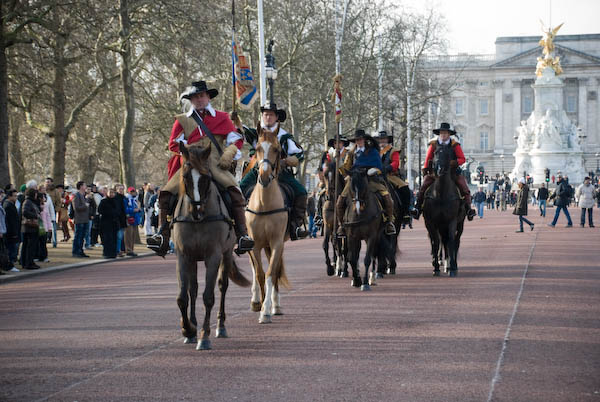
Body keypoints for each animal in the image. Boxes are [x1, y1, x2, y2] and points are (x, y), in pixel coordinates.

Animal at [172, 142, 251, 350]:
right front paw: (188, 329)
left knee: (222, 286)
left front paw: (204, 336)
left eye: (206, 177)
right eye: (185, 176)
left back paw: (220, 326)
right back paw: (192, 326)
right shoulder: (183, 256)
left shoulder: (213, 256)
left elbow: (208, 296)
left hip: (226, 253)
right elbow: (182, 297)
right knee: (192, 289)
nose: (196, 210)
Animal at [422, 145, 466, 277]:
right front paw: (436, 267)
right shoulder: (431, 222)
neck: (441, 194)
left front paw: (452, 267)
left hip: (459, 224)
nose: (439, 170)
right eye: (435, 152)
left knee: (455, 242)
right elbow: (435, 242)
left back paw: (452, 264)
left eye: (448, 154)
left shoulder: (452, 221)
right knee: (441, 241)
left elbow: (451, 241)